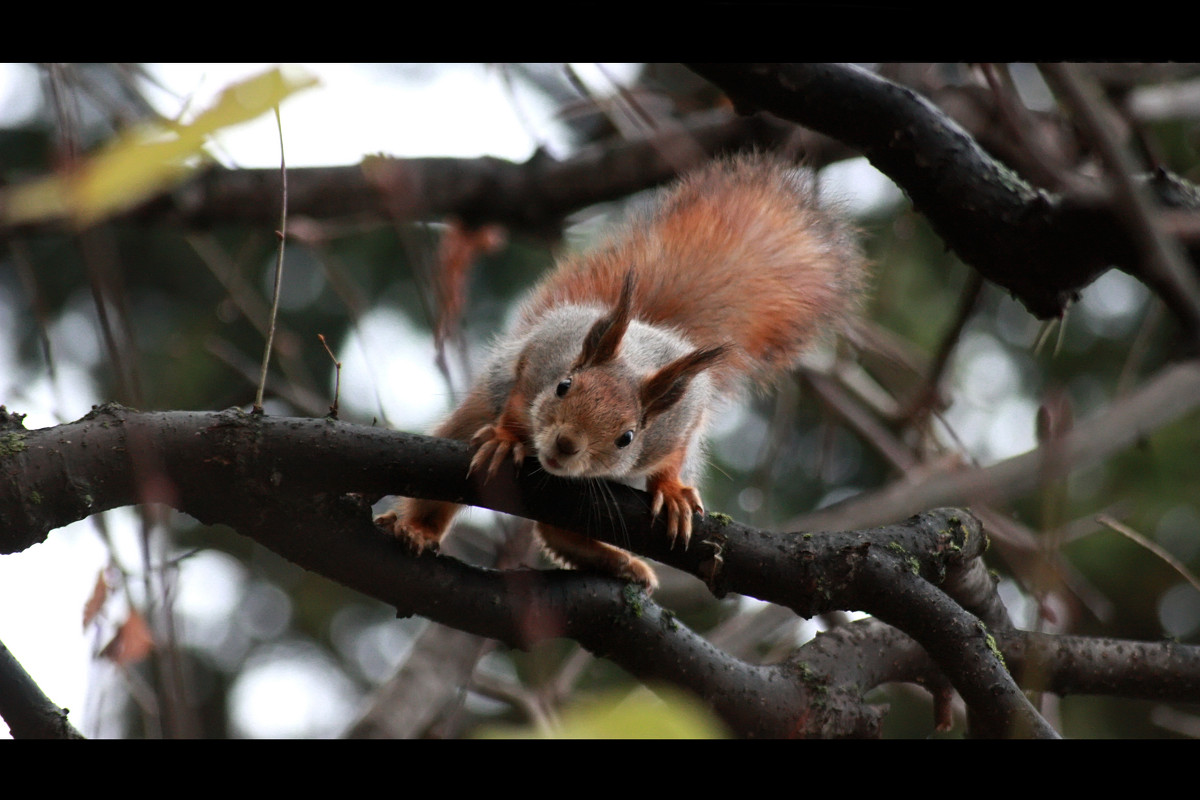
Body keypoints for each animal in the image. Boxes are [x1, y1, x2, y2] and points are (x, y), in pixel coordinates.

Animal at [379, 154, 868, 594]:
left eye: (627, 438)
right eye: (563, 386)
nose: (566, 445)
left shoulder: (677, 421)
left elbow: (672, 452)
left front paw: (672, 490)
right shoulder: (539, 360)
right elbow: (519, 403)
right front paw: (506, 438)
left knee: (558, 533)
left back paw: (616, 562)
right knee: (440, 492)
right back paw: (418, 529)